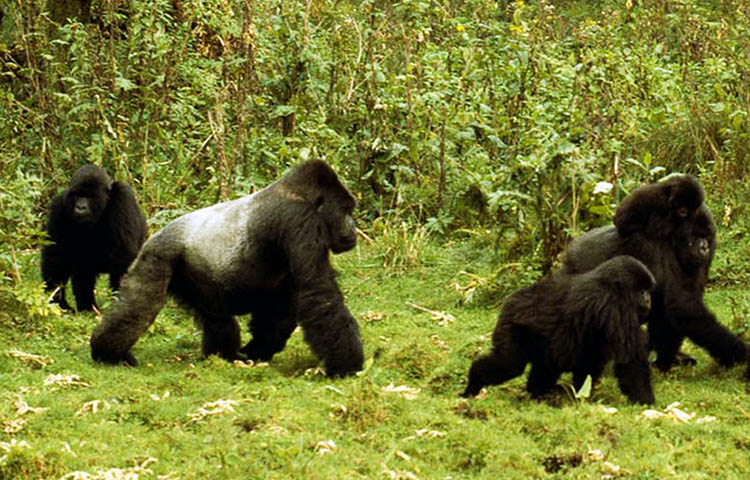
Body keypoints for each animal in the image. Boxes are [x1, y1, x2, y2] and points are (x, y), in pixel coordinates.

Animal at [41, 165, 148, 312]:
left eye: (89, 197)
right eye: (77, 195)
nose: (80, 207)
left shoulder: (123, 197)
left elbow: (123, 255)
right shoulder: (59, 205)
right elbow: (56, 256)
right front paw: (58, 302)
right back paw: (87, 307)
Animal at [89, 161, 366, 378]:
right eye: (345, 210)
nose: (353, 230)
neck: (302, 196)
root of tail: (154, 236)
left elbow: (281, 310)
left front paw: (258, 349)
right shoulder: (300, 221)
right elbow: (319, 293)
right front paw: (347, 363)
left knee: (216, 317)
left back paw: (222, 354)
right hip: (157, 258)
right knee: (141, 305)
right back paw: (109, 352)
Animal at [464, 255, 656, 404]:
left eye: (647, 290)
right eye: (642, 291)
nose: (648, 299)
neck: (611, 285)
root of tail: (510, 301)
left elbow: (589, 363)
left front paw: (581, 395)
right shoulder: (615, 306)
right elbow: (630, 359)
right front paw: (645, 400)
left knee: (543, 367)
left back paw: (537, 393)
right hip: (513, 326)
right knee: (509, 364)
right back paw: (474, 381)